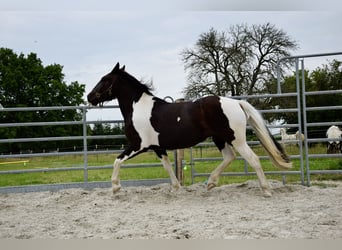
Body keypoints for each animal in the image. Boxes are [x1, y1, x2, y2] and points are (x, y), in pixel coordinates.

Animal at [87, 63, 292, 197]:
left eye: (105, 80)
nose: (90, 97)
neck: (138, 108)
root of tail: (237, 103)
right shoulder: (158, 148)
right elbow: (168, 166)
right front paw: (175, 188)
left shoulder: (138, 145)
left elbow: (117, 160)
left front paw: (115, 188)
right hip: (219, 138)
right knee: (229, 157)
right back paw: (211, 183)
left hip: (237, 139)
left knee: (253, 159)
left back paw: (266, 190)